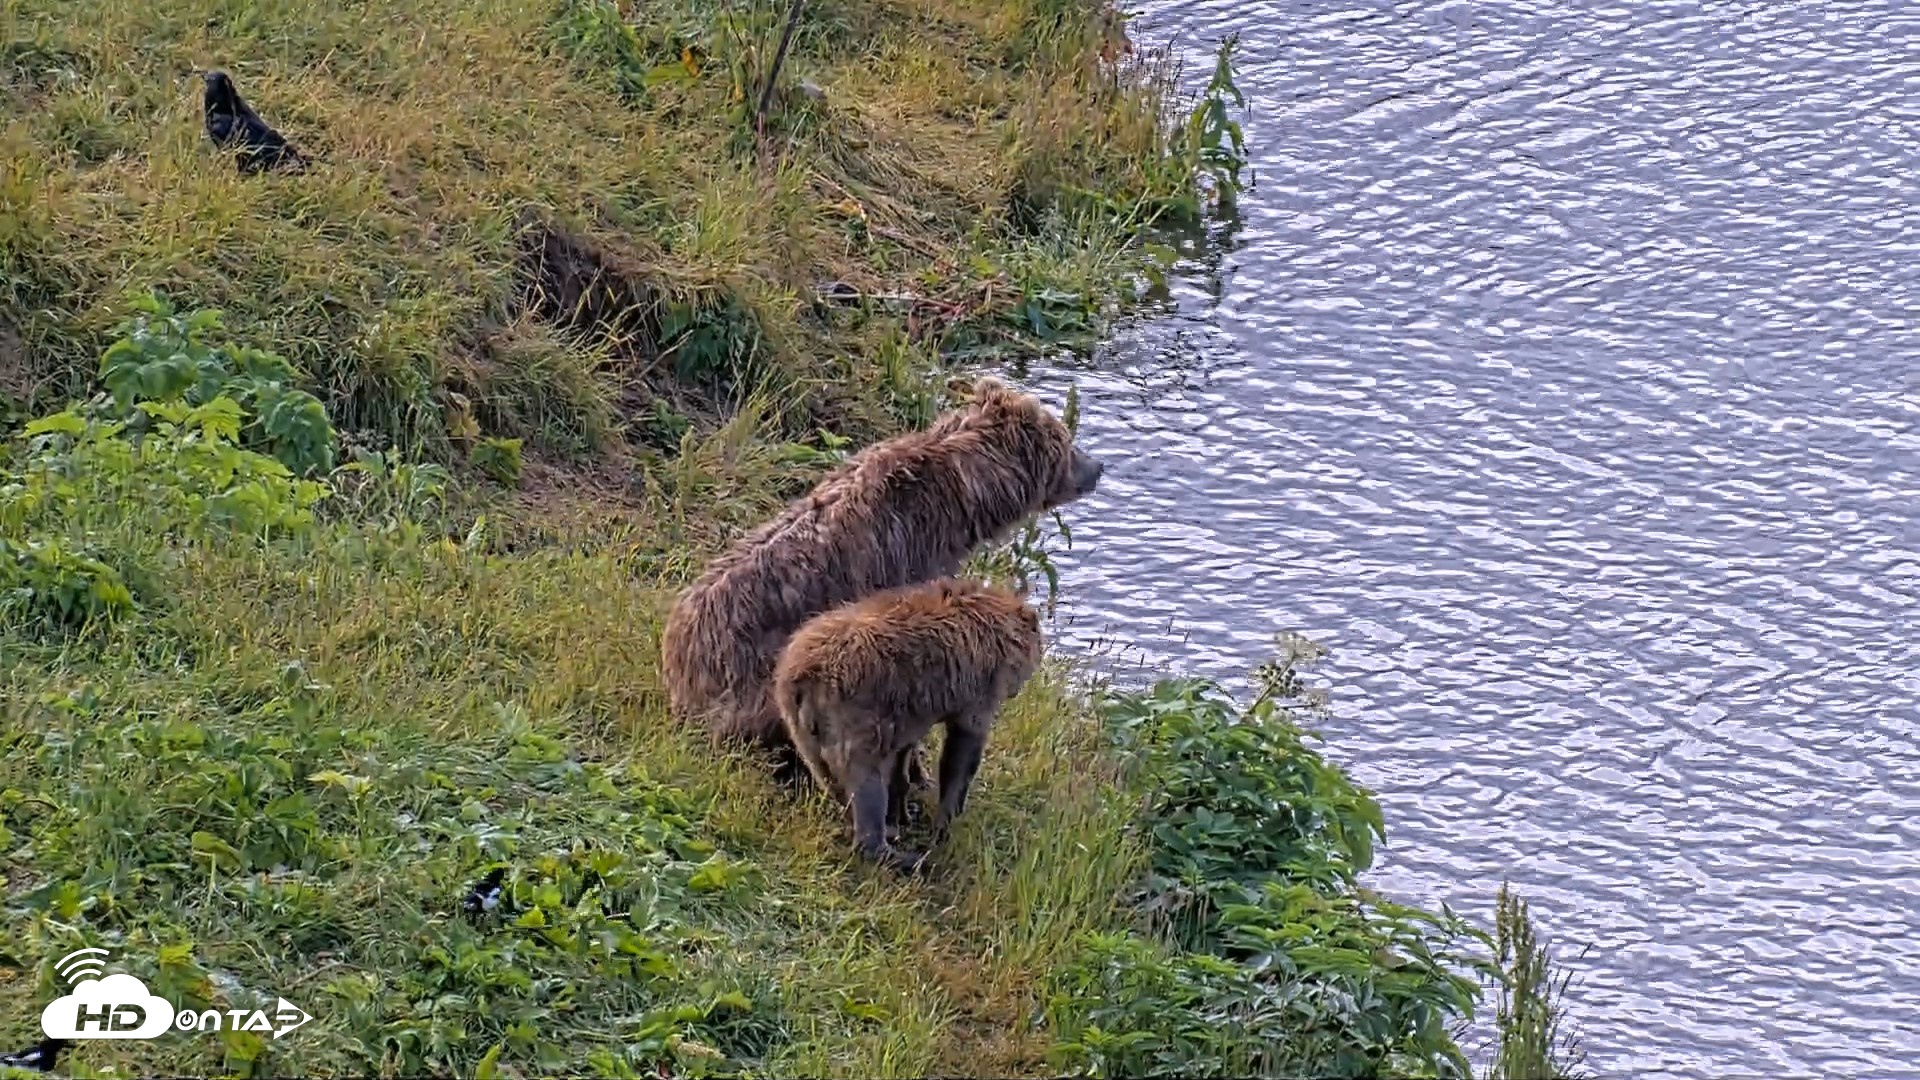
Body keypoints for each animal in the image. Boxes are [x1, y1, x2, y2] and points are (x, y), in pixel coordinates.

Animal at [659, 375, 1100, 788]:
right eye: (1066, 441)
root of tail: (678, 669)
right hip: (755, 671)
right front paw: (917, 769)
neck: (968, 500)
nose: (1097, 467)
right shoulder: (908, 562)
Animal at [773, 577, 1044, 872]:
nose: (1016, 690)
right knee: (865, 785)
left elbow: (902, 757)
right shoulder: (980, 687)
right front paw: (945, 822)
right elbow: (962, 749)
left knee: (829, 776)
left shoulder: (905, 713)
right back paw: (904, 857)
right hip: (849, 717)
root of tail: (803, 676)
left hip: (802, 729)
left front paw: (902, 812)